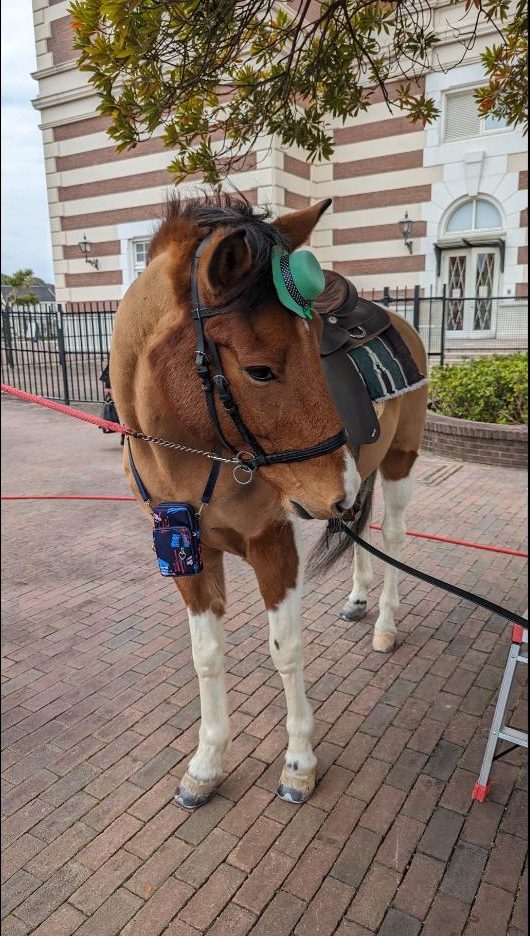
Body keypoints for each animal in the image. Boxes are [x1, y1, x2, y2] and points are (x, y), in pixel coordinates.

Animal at [110, 193, 428, 809]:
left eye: (315, 346)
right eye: (259, 370)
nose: (335, 489)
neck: (195, 452)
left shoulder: (271, 542)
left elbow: (286, 648)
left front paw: (299, 762)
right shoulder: (186, 551)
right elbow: (206, 655)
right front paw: (207, 763)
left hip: (399, 460)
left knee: (395, 536)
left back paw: (384, 622)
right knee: (362, 529)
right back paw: (358, 598)